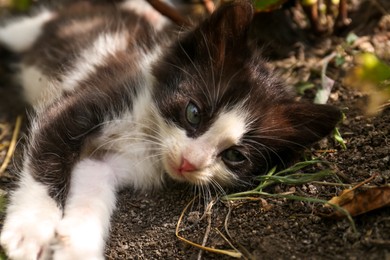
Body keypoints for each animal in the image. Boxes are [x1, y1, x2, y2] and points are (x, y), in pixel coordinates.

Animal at [0, 0, 342, 258]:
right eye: (193, 113)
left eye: (235, 156)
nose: (189, 162)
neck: (146, 133)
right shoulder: (86, 100)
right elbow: (47, 156)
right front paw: (30, 230)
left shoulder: (105, 163)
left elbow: (92, 190)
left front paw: (76, 248)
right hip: (36, 28)